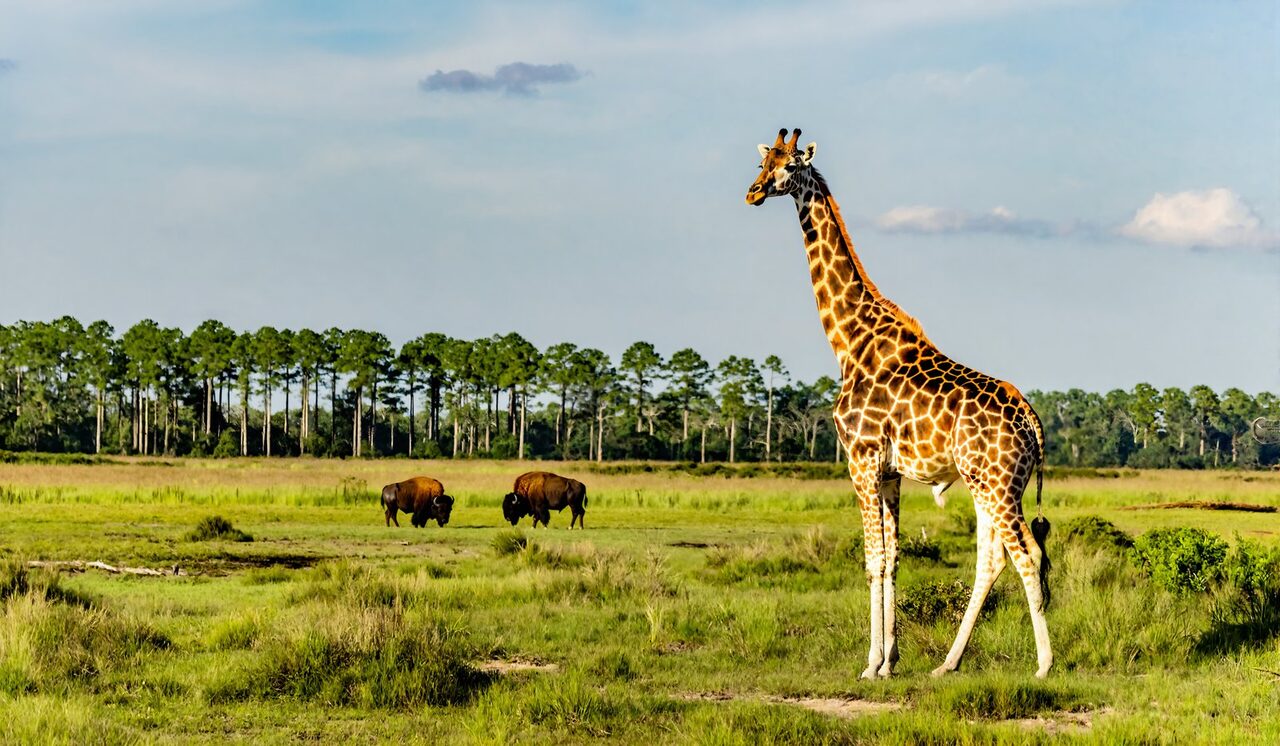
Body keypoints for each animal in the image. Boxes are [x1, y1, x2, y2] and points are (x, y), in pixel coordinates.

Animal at [745, 128, 1052, 679]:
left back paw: (1044, 665)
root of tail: (1032, 424)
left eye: (789, 166)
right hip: (988, 485)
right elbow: (891, 559)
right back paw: (948, 663)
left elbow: (871, 558)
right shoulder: (889, 472)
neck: (848, 341)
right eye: (763, 160)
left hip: (998, 486)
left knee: (1027, 555)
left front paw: (869, 665)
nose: (753, 192)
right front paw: (890, 661)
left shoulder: (860, 459)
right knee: (991, 559)